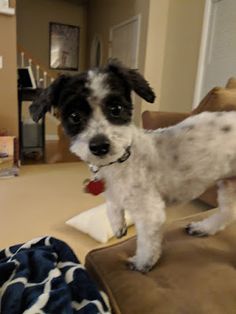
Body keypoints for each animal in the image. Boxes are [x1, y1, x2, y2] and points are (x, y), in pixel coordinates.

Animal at [30, 60, 236, 272]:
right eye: (74, 116)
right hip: (229, 184)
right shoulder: (112, 192)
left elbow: (147, 243)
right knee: (229, 213)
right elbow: (111, 206)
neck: (122, 160)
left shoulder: (150, 211)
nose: (99, 146)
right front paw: (117, 225)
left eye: (116, 108)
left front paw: (142, 263)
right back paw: (204, 228)